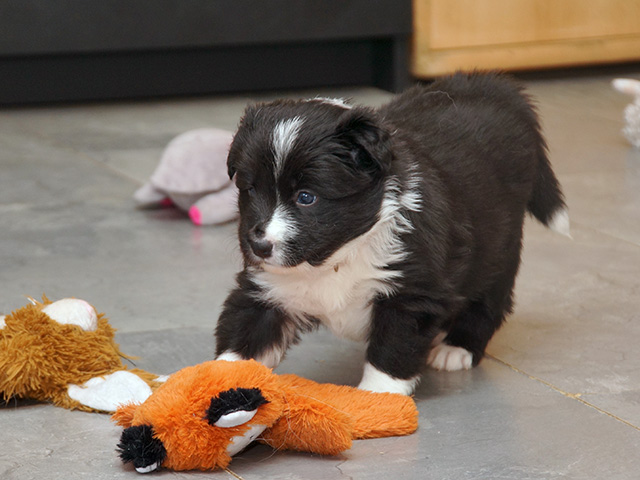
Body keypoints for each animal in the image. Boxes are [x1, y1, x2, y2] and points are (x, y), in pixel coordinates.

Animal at [215, 72, 569, 395]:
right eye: (250, 190)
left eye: (306, 197)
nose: (259, 245)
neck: (338, 258)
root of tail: (499, 86)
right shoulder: (267, 290)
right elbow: (242, 340)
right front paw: (215, 386)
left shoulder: (411, 293)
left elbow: (393, 349)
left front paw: (377, 398)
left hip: (497, 248)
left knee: (489, 302)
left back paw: (457, 347)